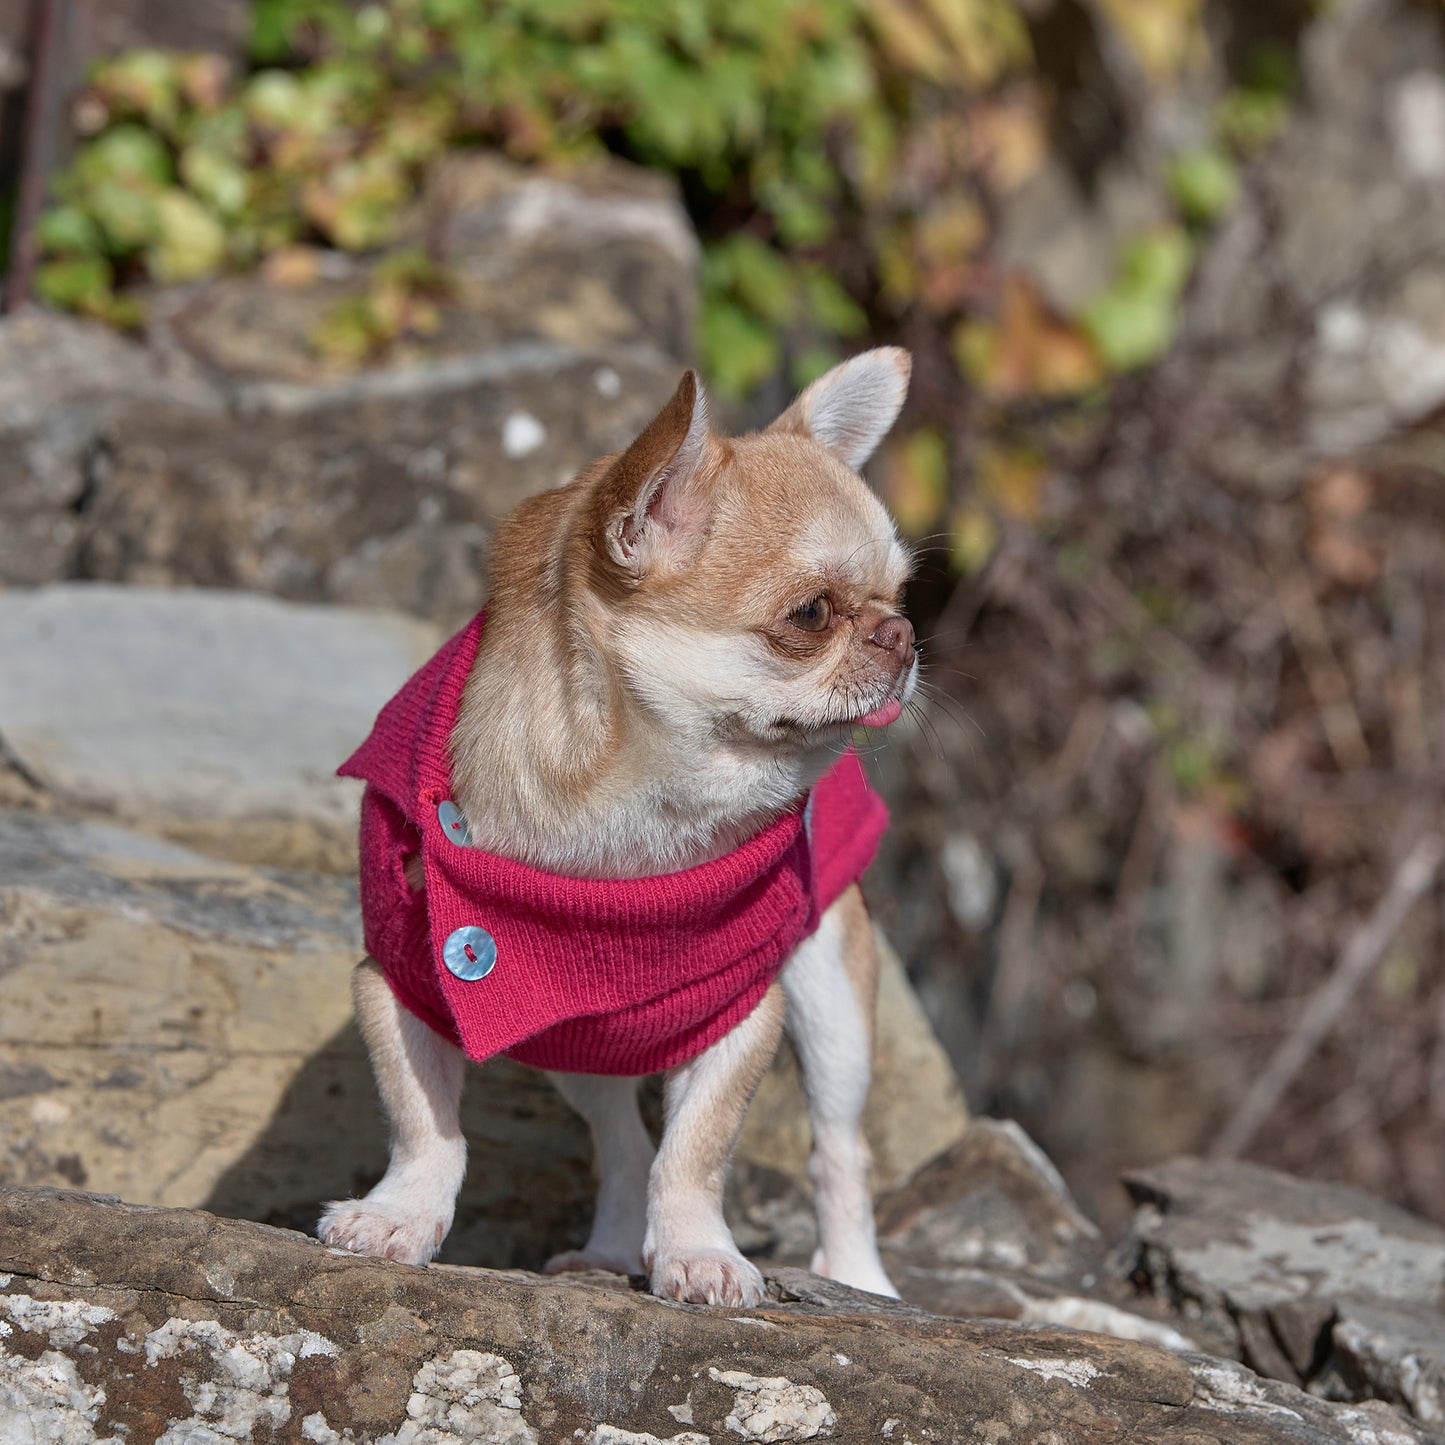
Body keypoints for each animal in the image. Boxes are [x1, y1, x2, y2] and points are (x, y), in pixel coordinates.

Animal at [323, 352, 919, 1312]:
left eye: (901, 596)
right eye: (812, 614)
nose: (901, 632)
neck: (633, 806)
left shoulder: (739, 1012)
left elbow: (696, 1150)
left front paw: (698, 1252)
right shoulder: (402, 984)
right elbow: (426, 1125)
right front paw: (398, 1216)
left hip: (832, 1001)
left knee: (839, 1147)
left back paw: (859, 1276)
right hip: (574, 1040)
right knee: (621, 1139)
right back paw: (607, 1249)